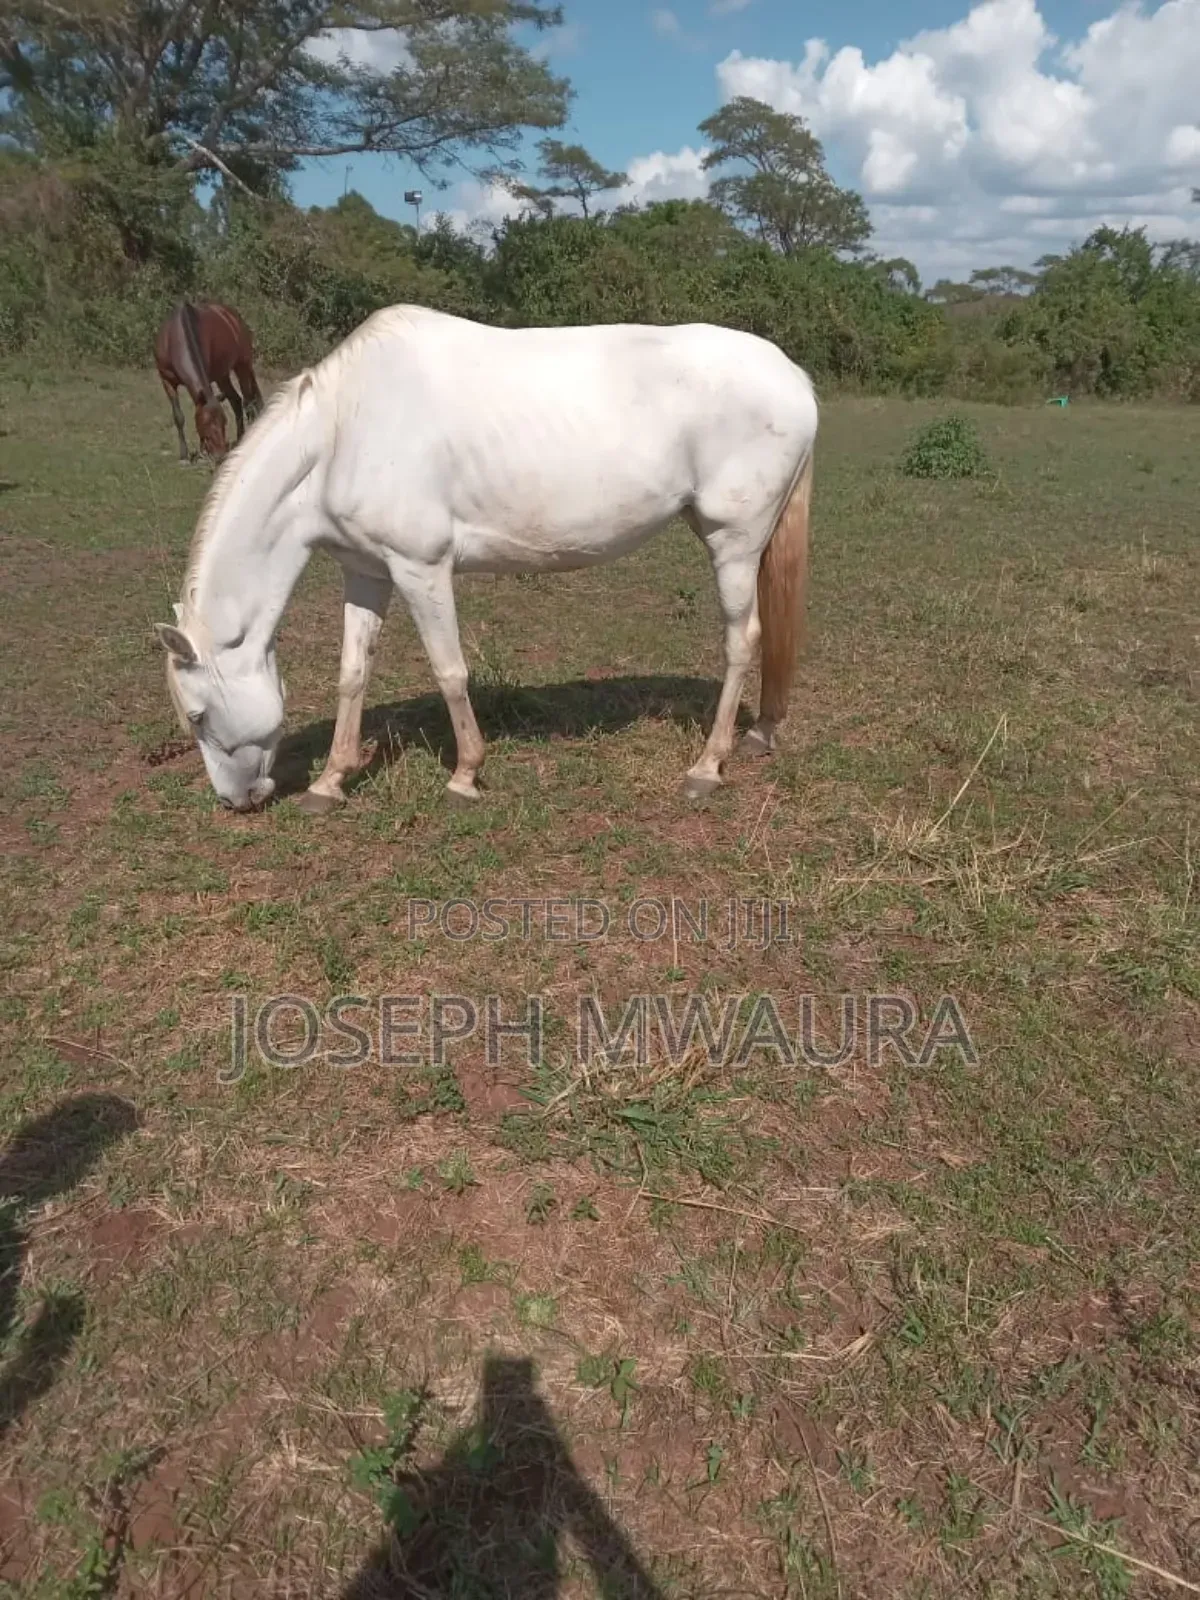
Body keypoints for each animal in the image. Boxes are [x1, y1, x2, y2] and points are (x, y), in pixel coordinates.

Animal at [153, 300, 264, 463]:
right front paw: (184, 455)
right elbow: (178, 416)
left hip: (242, 366)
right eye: (205, 423)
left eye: (224, 422)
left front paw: (202, 453)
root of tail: (232, 317)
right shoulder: (167, 381)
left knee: (248, 402)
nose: (220, 455)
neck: (176, 337)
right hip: (222, 376)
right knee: (236, 401)